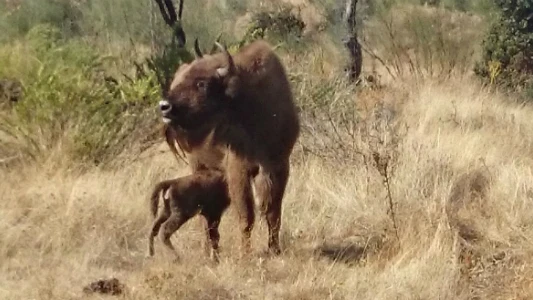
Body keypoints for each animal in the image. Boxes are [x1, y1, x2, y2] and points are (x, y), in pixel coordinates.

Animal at [157, 39, 300, 255]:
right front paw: (245, 254)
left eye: (202, 83)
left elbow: (273, 212)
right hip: (198, 165)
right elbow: (247, 216)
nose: (164, 106)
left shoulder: (279, 166)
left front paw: (275, 250)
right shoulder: (238, 170)